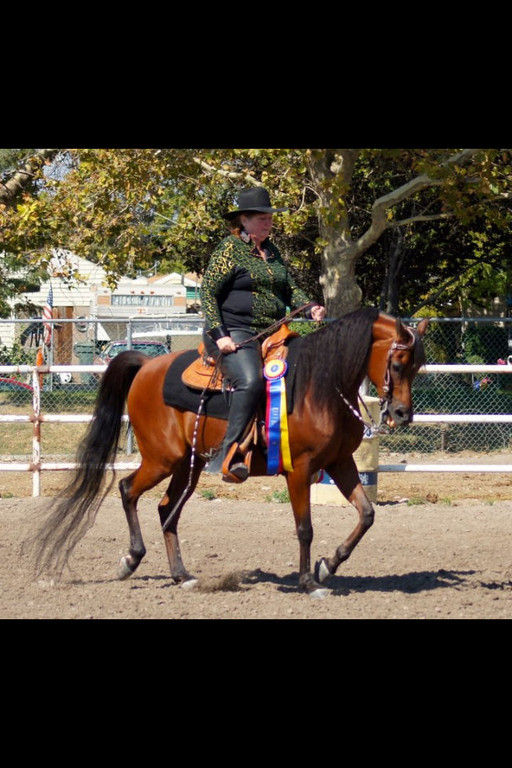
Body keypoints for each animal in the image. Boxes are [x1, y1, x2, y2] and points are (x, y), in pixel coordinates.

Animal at [29, 308, 428, 596]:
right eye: (396, 364)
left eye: (418, 365)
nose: (402, 414)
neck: (319, 385)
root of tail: (146, 365)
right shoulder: (299, 470)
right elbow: (305, 528)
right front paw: (307, 582)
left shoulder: (339, 463)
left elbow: (367, 514)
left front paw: (327, 566)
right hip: (162, 460)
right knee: (129, 490)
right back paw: (131, 559)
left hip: (188, 466)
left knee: (166, 510)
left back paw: (182, 575)